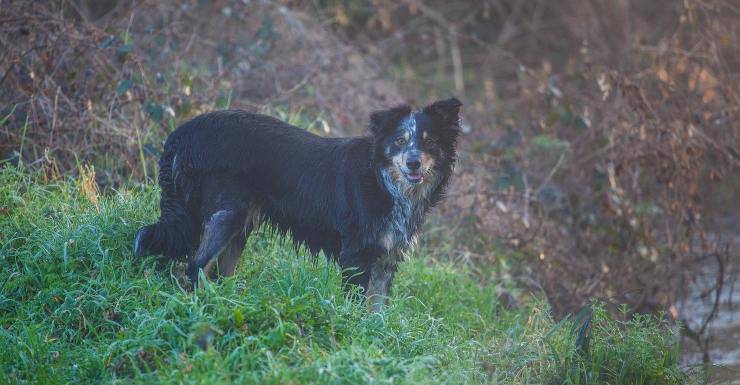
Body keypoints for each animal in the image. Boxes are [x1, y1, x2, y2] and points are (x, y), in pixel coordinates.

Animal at [130, 97, 460, 308]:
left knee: (220, 272)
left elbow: (378, 312)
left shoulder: (386, 257)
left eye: (430, 142)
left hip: (240, 224)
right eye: (400, 141)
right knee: (196, 266)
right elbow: (356, 307)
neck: (384, 182)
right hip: (227, 212)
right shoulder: (356, 254)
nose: (414, 163)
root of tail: (183, 132)